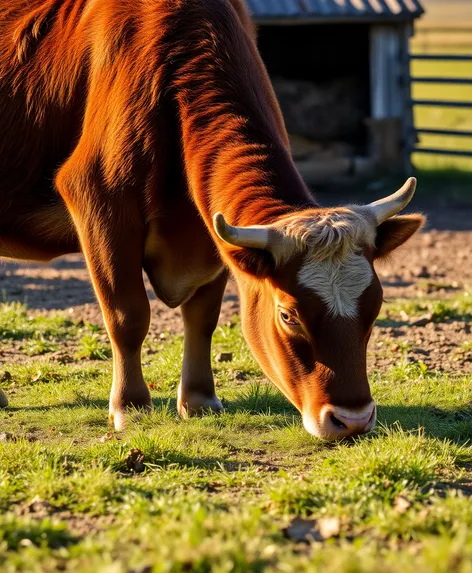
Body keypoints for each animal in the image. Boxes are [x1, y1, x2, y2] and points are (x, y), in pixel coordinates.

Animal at [0, 0, 424, 438]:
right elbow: (128, 315)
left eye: (376, 303)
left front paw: (200, 400)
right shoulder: (101, 201)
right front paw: (131, 406)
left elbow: (202, 318)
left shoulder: (215, 237)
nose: (353, 419)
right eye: (288, 315)